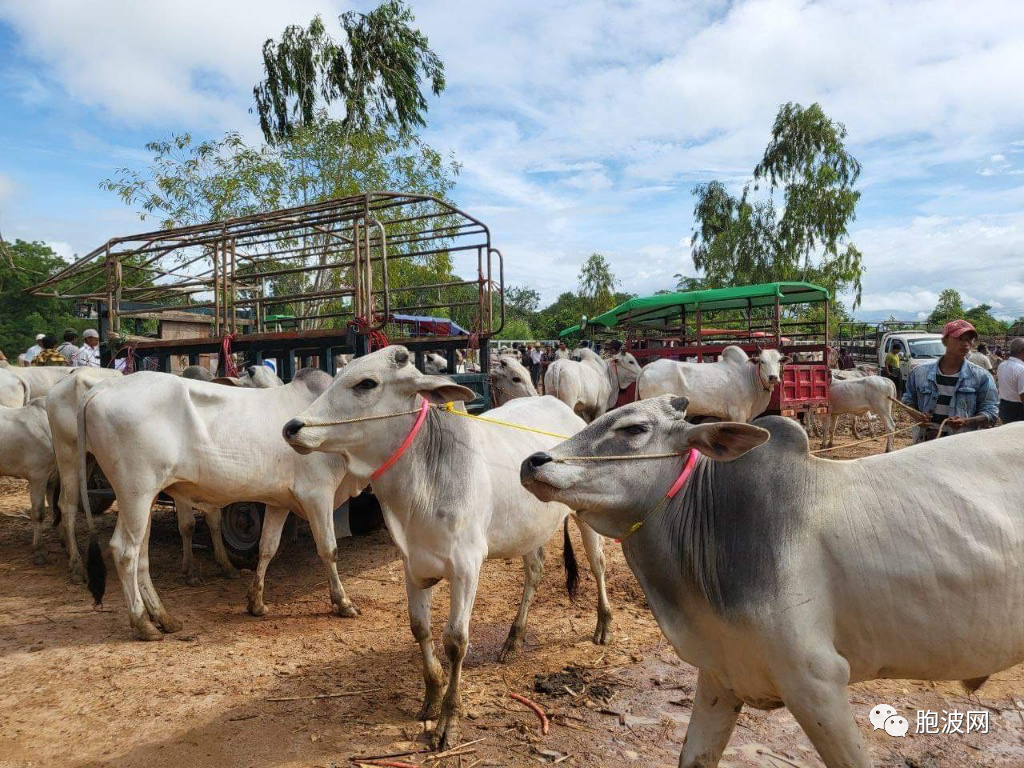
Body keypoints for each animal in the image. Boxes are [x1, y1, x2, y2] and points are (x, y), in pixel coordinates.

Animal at [78, 370, 364, 638]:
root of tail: (106, 386)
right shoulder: (318, 495)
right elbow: (329, 549)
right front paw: (343, 603)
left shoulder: (279, 502)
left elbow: (267, 548)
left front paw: (256, 602)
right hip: (135, 492)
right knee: (125, 552)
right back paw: (143, 623)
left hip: (143, 498)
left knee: (140, 555)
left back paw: (164, 618)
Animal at [280, 350, 610, 753]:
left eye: (366, 384)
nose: (292, 427)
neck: (423, 480)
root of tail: (562, 407)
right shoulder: (413, 565)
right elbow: (420, 628)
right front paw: (431, 696)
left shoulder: (466, 568)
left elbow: (455, 641)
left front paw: (448, 720)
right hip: (526, 529)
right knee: (535, 569)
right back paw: (513, 639)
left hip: (584, 515)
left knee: (597, 562)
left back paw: (603, 625)